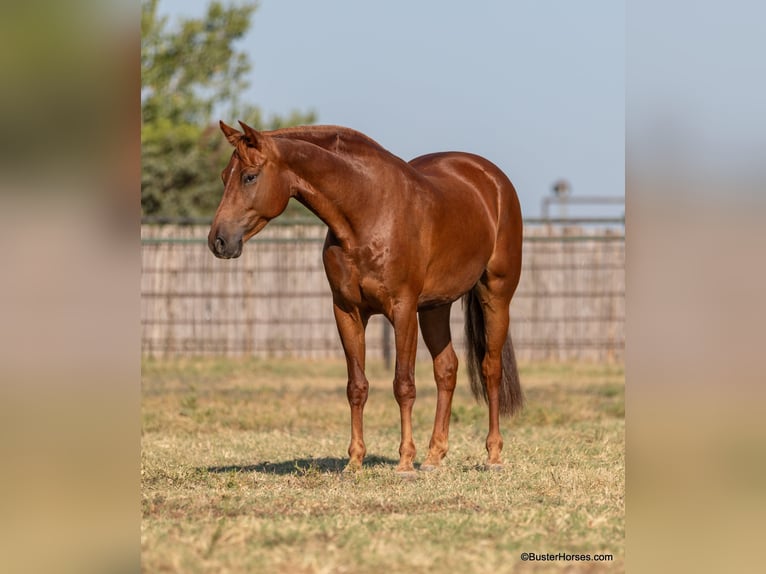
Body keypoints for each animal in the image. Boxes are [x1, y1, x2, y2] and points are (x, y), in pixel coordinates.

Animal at [207, 119, 524, 474]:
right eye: (224, 176)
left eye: (249, 176)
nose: (218, 241)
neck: (367, 211)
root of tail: (492, 179)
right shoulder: (347, 311)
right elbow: (356, 386)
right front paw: (355, 461)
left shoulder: (402, 309)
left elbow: (403, 385)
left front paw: (404, 462)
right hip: (435, 307)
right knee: (446, 369)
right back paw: (434, 456)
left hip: (495, 295)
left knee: (490, 369)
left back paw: (493, 455)